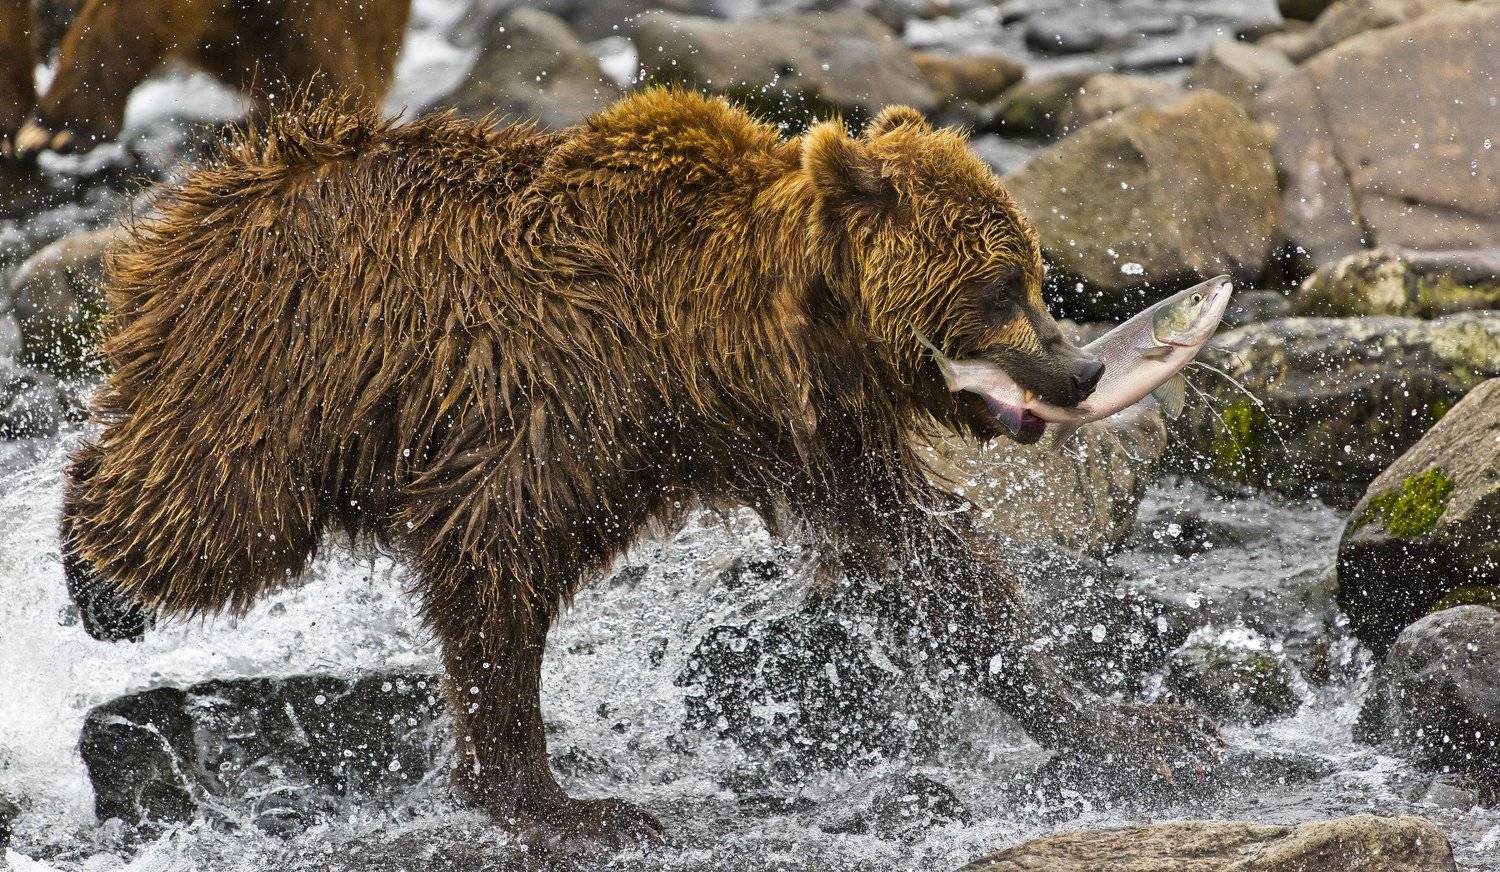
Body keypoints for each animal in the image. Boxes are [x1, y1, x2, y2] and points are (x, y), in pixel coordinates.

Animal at [60, 89, 1218, 843]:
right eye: (1001, 284)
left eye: (1031, 271)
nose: (1078, 366)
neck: (719, 331)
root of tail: (201, 200)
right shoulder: (564, 397)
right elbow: (495, 564)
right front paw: (568, 803)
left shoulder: (814, 439)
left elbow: (934, 561)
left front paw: (1133, 725)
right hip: (278, 378)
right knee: (207, 513)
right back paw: (96, 576)